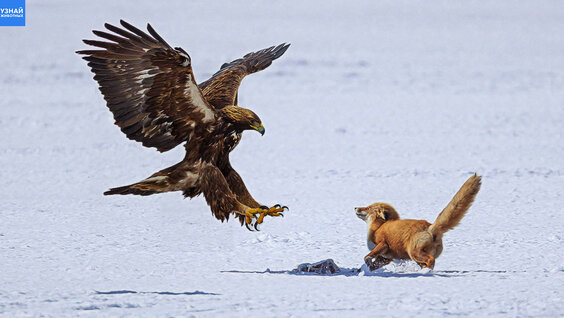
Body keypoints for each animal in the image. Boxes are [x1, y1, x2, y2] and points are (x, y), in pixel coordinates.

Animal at [352, 174, 480, 270]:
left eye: (368, 208)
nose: (355, 207)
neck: (378, 227)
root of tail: (430, 227)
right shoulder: (386, 257)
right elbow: (374, 265)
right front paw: (365, 270)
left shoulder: (383, 244)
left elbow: (367, 257)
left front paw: (367, 264)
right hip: (415, 256)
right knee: (426, 262)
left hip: (413, 252)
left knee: (431, 260)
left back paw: (426, 272)